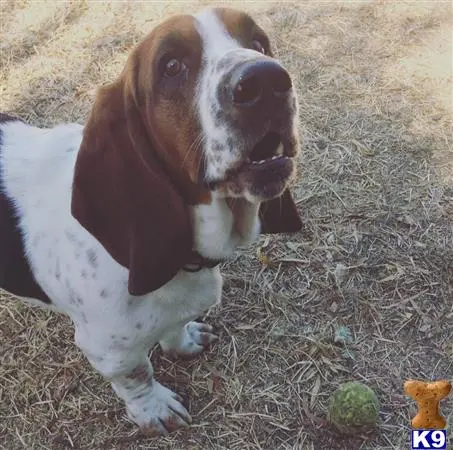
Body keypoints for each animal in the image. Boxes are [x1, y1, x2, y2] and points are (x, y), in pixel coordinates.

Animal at [1, 7, 302, 434]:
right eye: (171, 66)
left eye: (258, 43)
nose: (267, 81)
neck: (185, 260)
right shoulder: (108, 350)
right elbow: (137, 376)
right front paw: (154, 409)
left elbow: (175, 326)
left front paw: (183, 340)